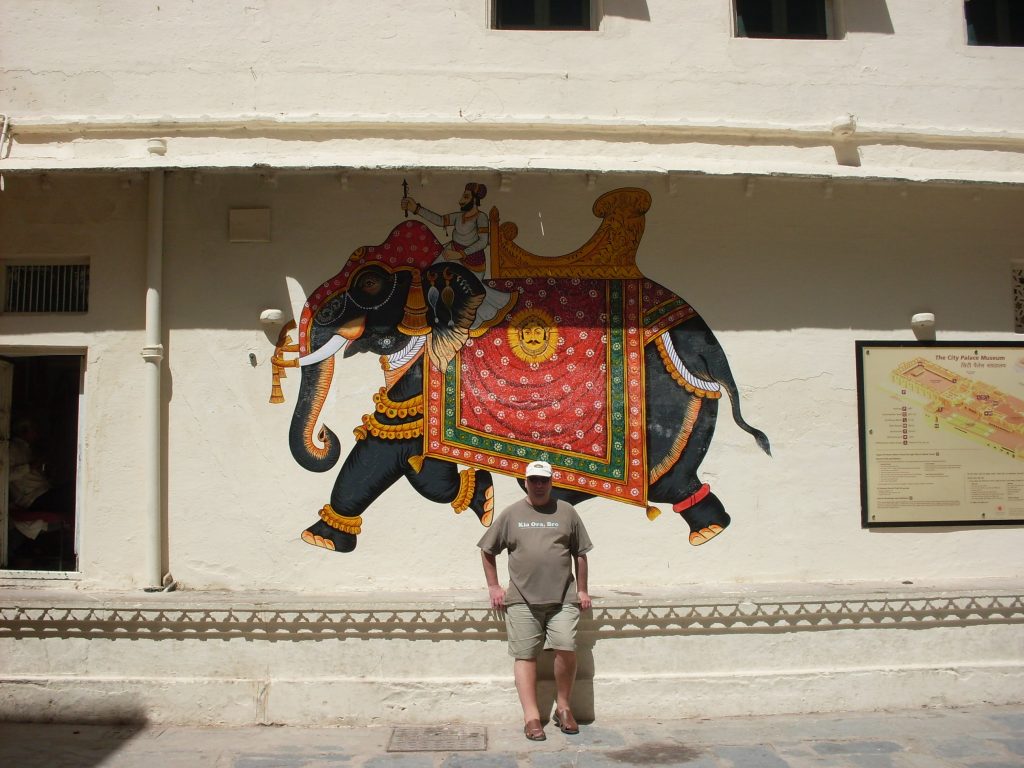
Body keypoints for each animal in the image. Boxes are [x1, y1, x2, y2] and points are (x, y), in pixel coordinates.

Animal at [272, 189, 770, 557]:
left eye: (371, 282)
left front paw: (322, 539)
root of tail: (705, 339)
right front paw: (480, 496)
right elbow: (409, 446)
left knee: (666, 479)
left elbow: (390, 437)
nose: (326, 436)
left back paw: (701, 530)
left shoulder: (433, 360)